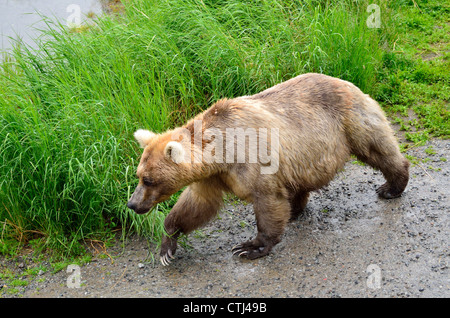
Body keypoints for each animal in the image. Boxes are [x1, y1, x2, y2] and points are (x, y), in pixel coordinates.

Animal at [125, 73, 408, 264]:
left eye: (148, 180)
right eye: (138, 176)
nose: (132, 204)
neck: (223, 152)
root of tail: (347, 81)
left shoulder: (252, 159)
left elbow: (267, 200)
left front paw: (249, 247)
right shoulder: (213, 176)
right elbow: (197, 205)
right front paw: (167, 246)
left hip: (350, 121)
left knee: (378, 148)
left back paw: (392, 186)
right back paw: (295, 210)